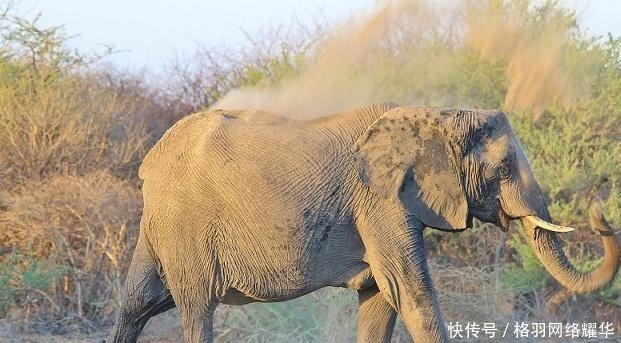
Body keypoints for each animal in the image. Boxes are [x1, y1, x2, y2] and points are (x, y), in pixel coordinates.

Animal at [109, 104, 616, 343]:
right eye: (505, 167)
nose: (601, 212)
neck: (437, 114)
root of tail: (149, 161)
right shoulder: (379, 200)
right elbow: (409, 293)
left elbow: (379, 297)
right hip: (184, 224)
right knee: (195, 308)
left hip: (159, 226)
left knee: (139, 302)